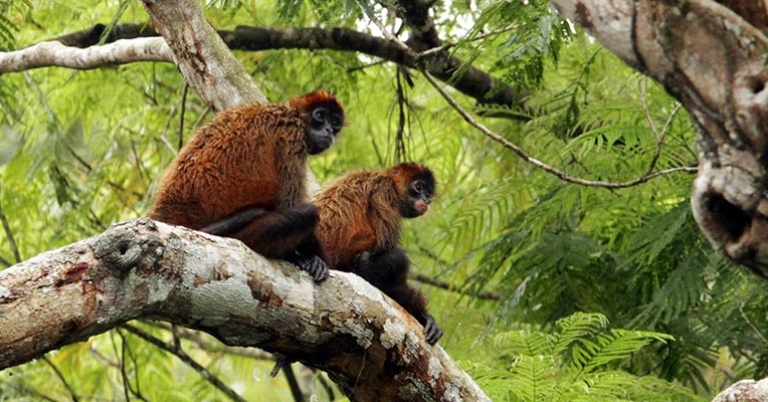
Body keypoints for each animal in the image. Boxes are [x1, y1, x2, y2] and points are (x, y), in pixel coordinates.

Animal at [149, 90, 345, 282]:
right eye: (320, 115)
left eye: (335, 123)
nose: (329, 130)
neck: (290, 113)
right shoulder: (292, 135)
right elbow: (288, 204)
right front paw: (312, 259)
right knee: (306, 213)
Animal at [314, 162, 443, 345]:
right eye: (418, 187)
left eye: (428, 193)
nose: (426, 199)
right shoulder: (383, 190)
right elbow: (386, 249)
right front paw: (424, 316)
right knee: (392, 259)